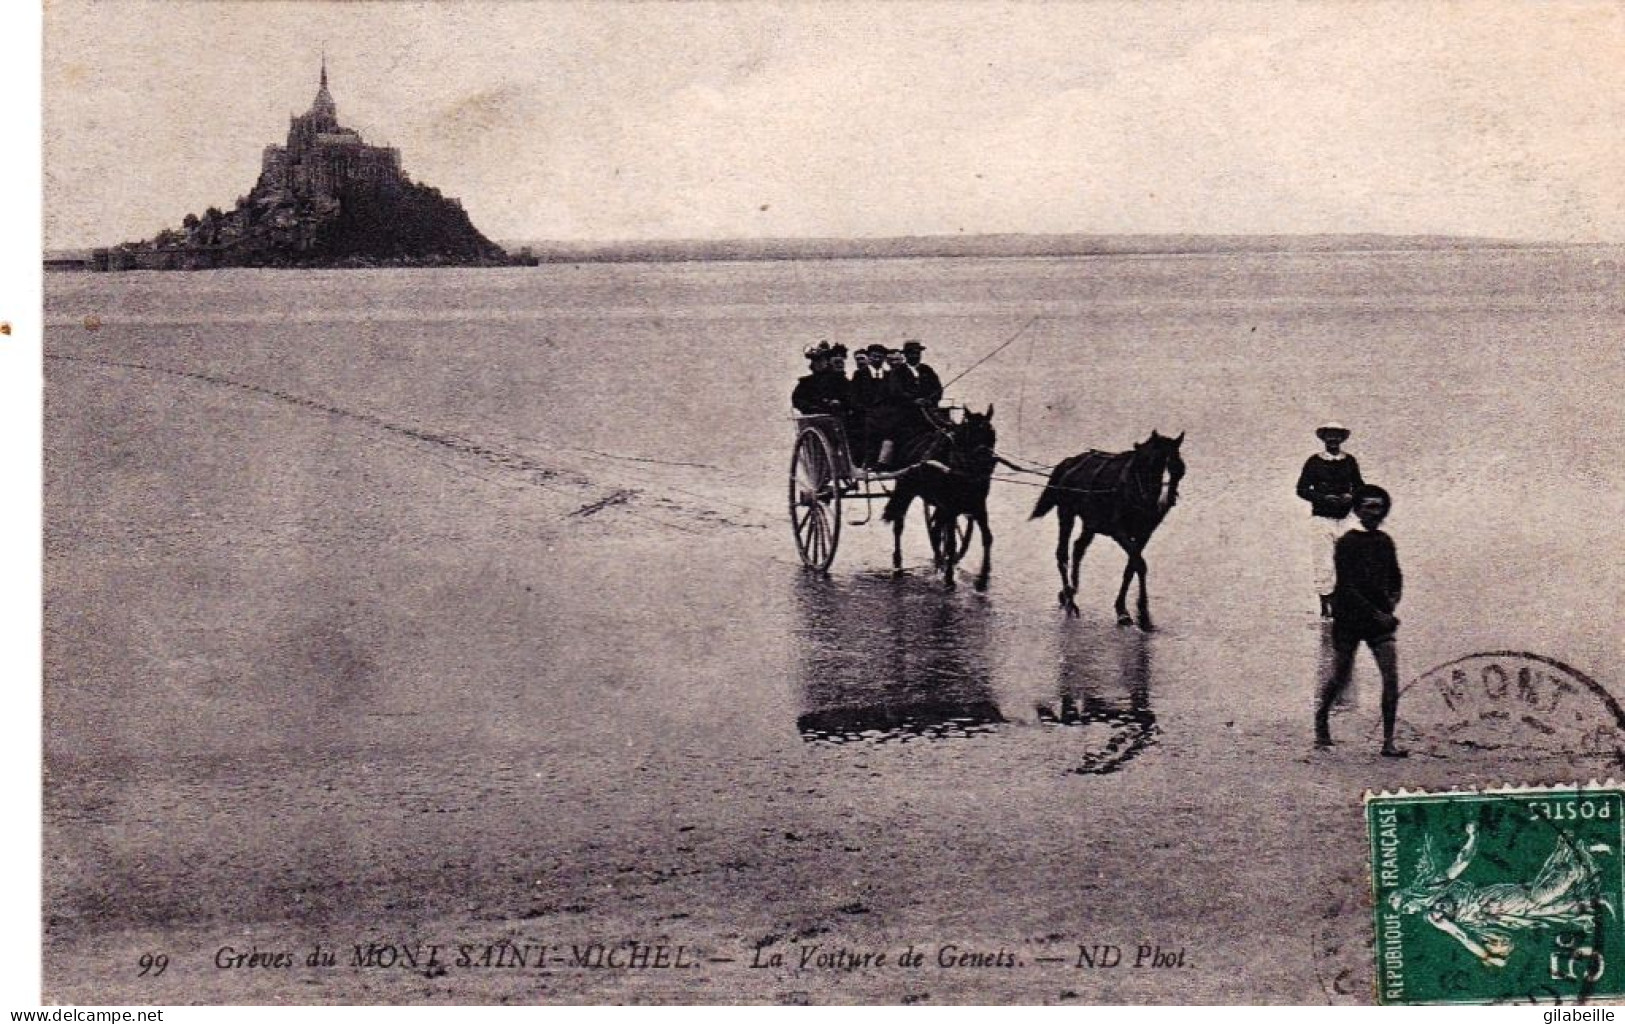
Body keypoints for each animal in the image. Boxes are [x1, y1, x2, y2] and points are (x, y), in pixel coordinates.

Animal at [884, 404, 994, 588]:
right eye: (970, 434)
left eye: (991, 432)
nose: (986, 462)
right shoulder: (951, 508)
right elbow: (950, 544)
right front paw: (949, 578)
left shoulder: (978, 505)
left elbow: (987, 537)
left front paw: (983, 576)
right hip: (906, 489)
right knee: (899, 525)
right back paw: (898, 563)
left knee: (935, 530)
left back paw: (938, 562)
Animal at [1033, 432, 1189, 630]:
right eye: (1153, 466)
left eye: (1179, 469)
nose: (1164, 502)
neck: (1134, 486)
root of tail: (1068, 462)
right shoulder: (1118, 531)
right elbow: (1139, 564)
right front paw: (1142, 614)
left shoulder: (1144, 533)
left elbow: (1131, 567)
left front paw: (1124, 610)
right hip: (1066, 513)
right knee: (1062, 554)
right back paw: (1070, 600)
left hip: (1091, 522)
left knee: (1078, 547)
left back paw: (1071, 590)